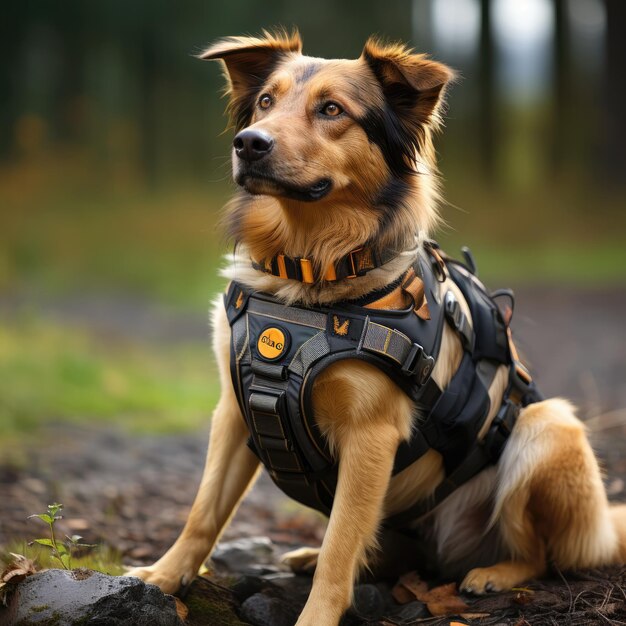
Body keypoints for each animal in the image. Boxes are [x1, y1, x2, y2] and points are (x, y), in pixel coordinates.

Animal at [125, 30, 624, 624]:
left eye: (332, 110)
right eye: (266, 101)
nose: (249, 143)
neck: (308, 271)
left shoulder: (371, 435)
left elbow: (342, 547)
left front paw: (316, 615)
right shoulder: (234, 409)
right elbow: (203, 512)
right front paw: (165, 575)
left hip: (548, 427)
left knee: (538, 553)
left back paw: (494, 574)